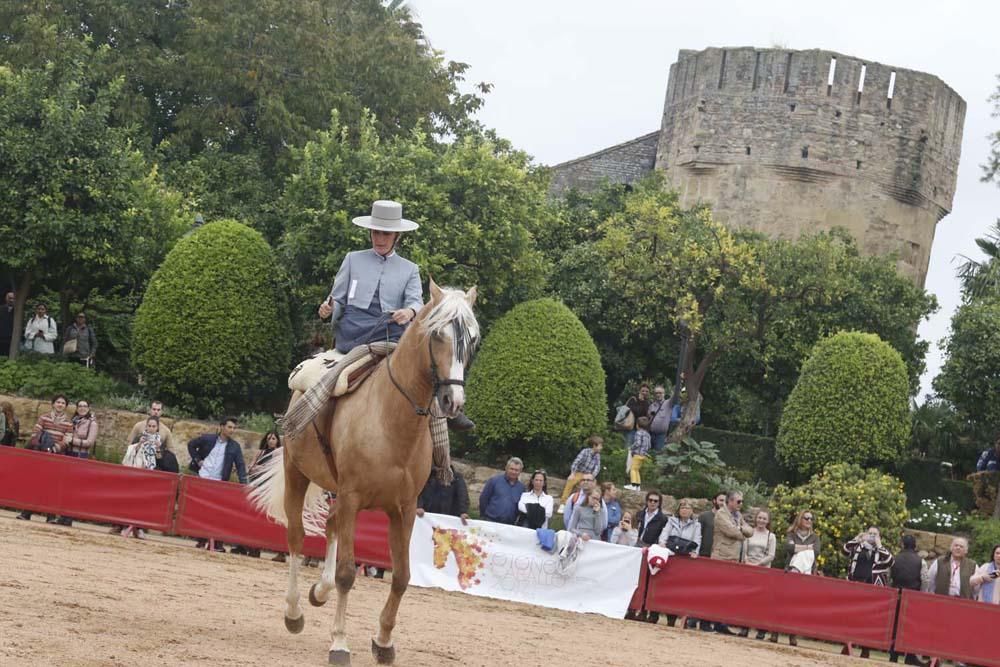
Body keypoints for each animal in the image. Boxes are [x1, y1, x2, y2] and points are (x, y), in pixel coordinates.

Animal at [254, 282, 480, 667]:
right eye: (438, 334)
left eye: (473, 340)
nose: (453, 401)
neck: (392, 419)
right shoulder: (353, 497)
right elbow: (347, 573)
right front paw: (340, 643)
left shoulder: (403, 509)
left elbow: (401, 576)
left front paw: (384, 641)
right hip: (299, 475)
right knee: (297, 539)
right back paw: (294, 611)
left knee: (330, 526)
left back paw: (320, 591)